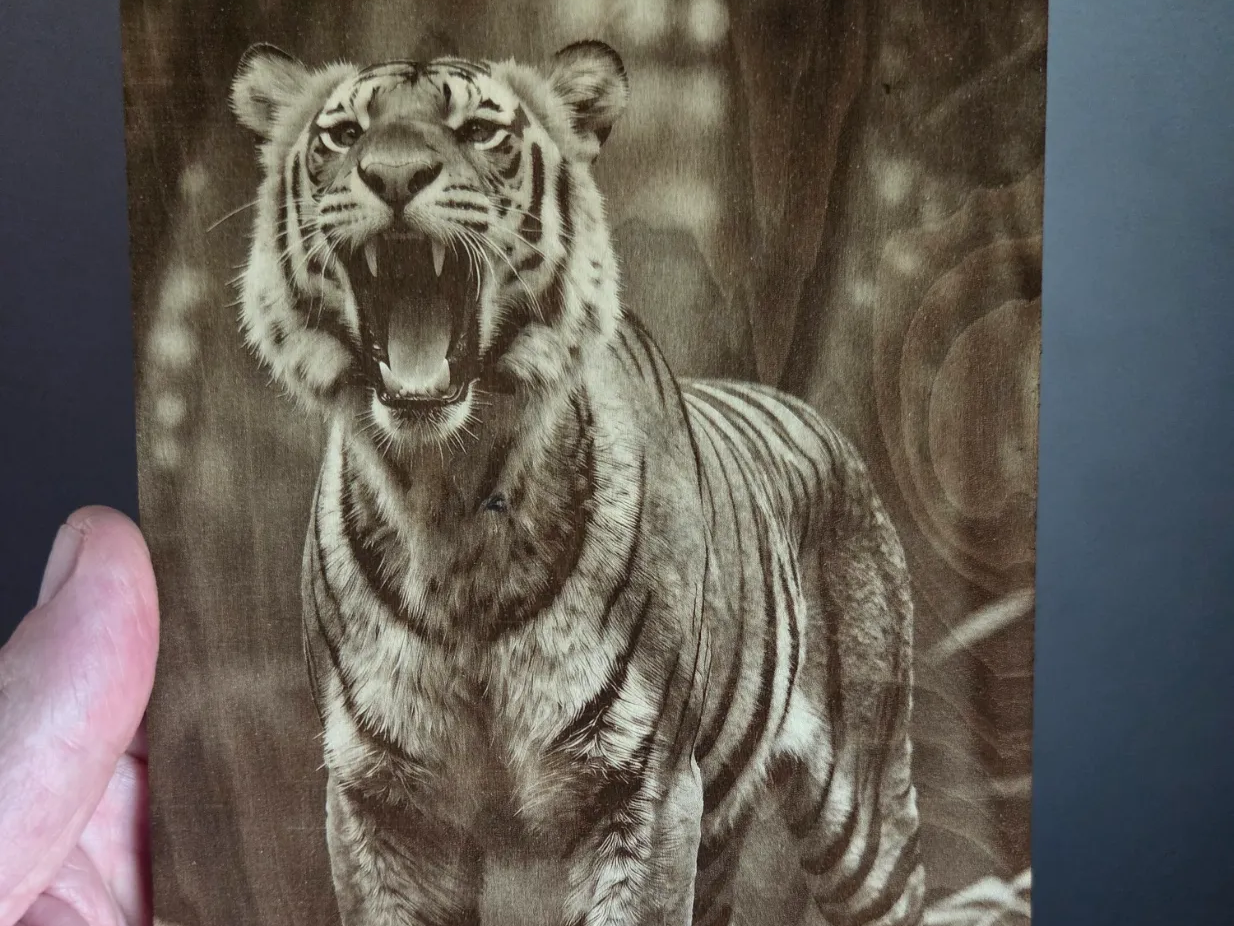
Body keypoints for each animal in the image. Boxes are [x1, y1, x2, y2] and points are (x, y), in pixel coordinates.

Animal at [229, 39, 924, 926]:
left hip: (863, 819)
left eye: (479, 131)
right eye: (344, 135)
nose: (393, 175)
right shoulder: (381, 798)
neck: (445, 492)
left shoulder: (641, 784)